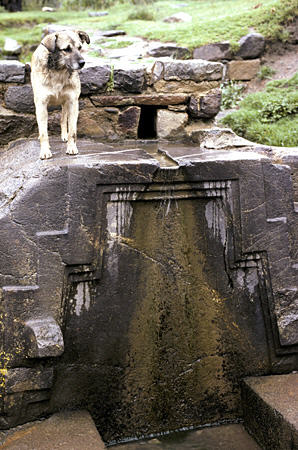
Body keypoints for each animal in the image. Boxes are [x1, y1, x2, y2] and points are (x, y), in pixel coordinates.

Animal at [31, 29, 90, 160]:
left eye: (80, 47)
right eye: (66, 49)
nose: (82, 63)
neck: (58, 71)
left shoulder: (73, 102)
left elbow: (72, 131)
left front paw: (71, 147)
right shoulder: (41, 104)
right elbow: (44, 132)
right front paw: (45, 151)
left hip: (65, 104)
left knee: (63, 119)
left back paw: (64, 135)